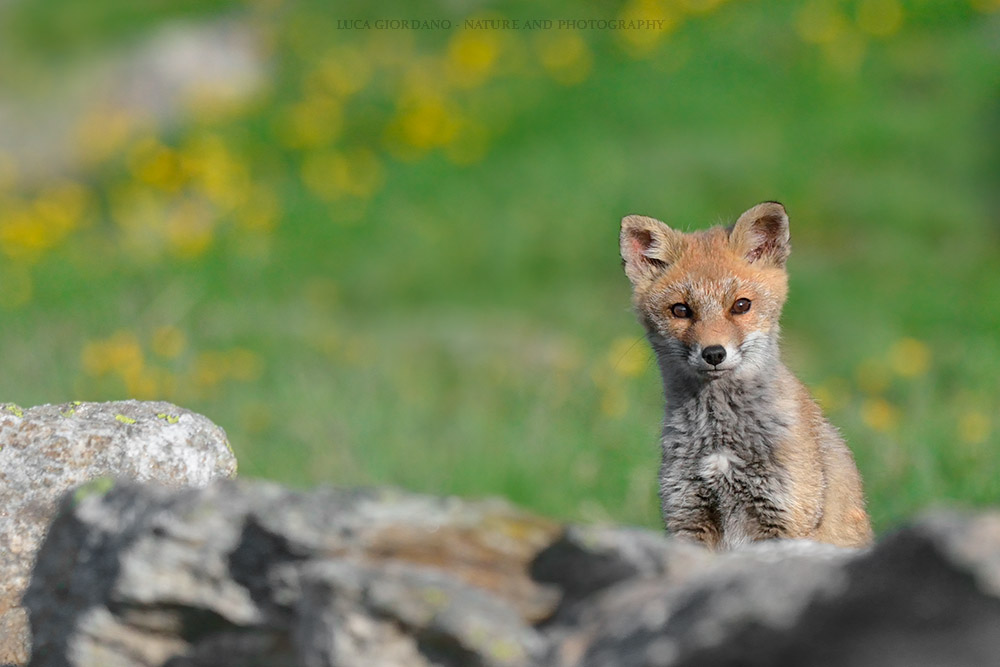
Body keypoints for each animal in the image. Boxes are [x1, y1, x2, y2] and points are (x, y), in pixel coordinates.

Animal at [619, 201, 873, 550]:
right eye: (681, 310)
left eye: (741, 305)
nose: (714, 353)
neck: (719, 439)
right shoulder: (687, 514)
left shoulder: (781, 517)